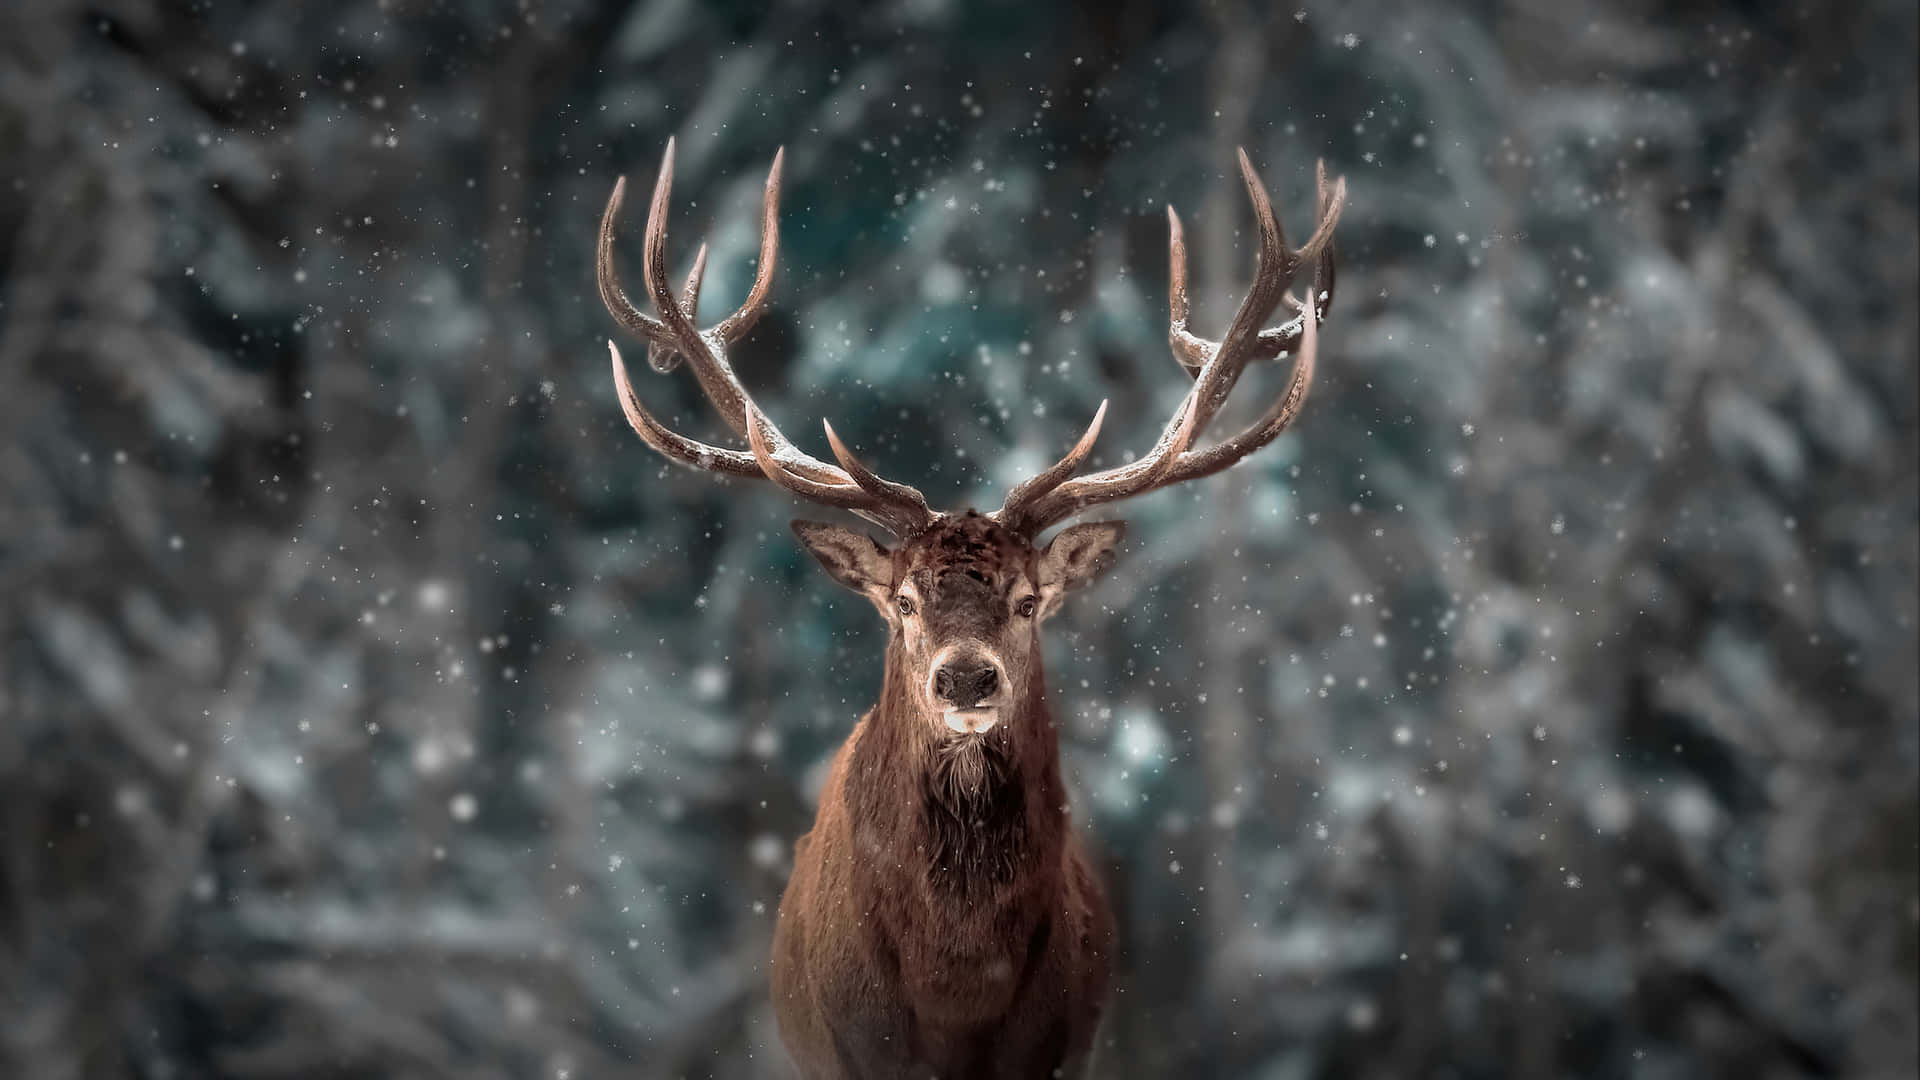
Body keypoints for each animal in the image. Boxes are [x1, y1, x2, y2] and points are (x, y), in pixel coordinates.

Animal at [596, 138, 1344, 1079]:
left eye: (1028, 601)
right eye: (905, 601)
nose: (964, 680)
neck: (957, 990)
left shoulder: (1062, 1048)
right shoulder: (854, 1052)